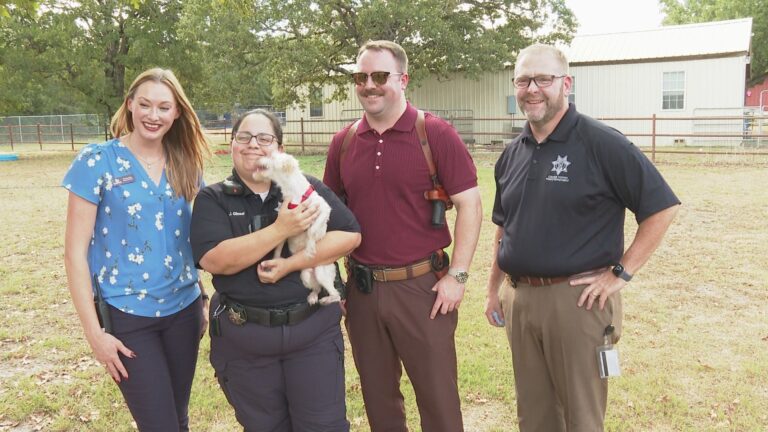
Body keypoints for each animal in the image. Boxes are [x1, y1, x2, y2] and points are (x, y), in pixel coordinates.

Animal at [260, 151, 340, 304]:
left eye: (272, 156)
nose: (261, 156)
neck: (294, 193)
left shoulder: (323, 209)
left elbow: (312, 230)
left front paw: (310, 247)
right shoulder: (284, 227)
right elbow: (278, 249)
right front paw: (274, 261)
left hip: (321, 271)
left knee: (336, 294)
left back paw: (326, 300)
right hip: (306, 275)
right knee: (317, 289)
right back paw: (313, 297)